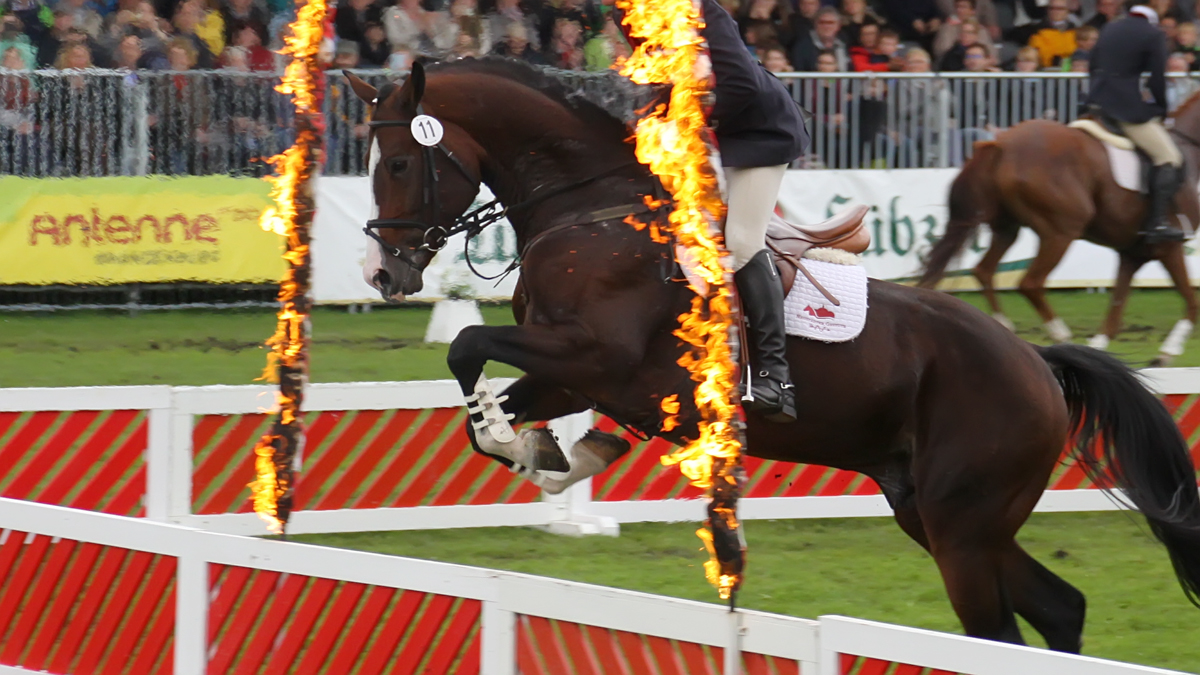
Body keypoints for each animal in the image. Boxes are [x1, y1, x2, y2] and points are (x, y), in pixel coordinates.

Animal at [916, 96, 1200, 366]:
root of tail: (1003, 144)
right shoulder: (1168, 246)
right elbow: (1192, 302)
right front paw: (1167, 352)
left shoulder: (1131, 253)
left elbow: (1115, 311)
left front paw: (1100, 352)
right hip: (1060, 232)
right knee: (1030, 283)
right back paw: (1059, 335)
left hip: (1007, 228)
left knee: (984, 270)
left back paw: (1004, 329)